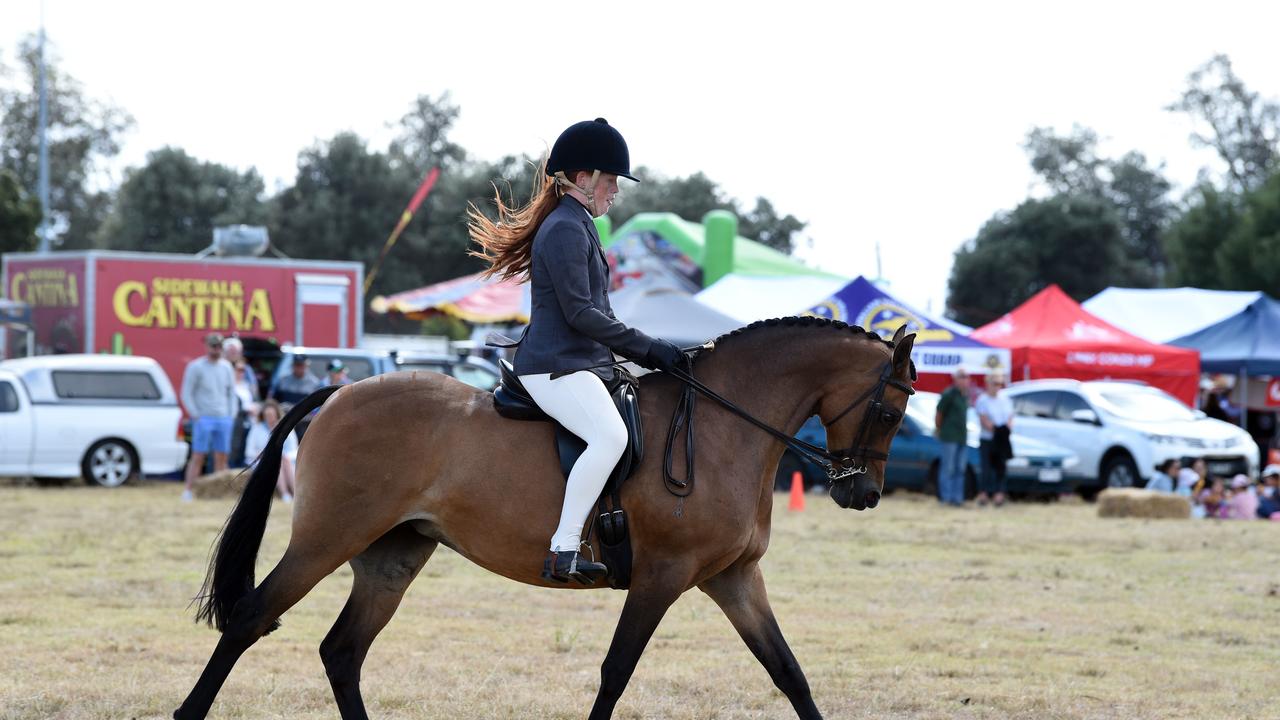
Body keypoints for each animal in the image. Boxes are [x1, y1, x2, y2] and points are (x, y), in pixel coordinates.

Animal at [175, 316, 916, 712]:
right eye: (890, 410)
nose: (863, 493)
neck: (720, 426)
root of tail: (335, 393)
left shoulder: (734, 579)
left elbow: (788, 672)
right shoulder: (663, 577)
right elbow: (616, 673)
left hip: (392, 556)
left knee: (342, 651)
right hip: (326, 539)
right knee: (251, 619)